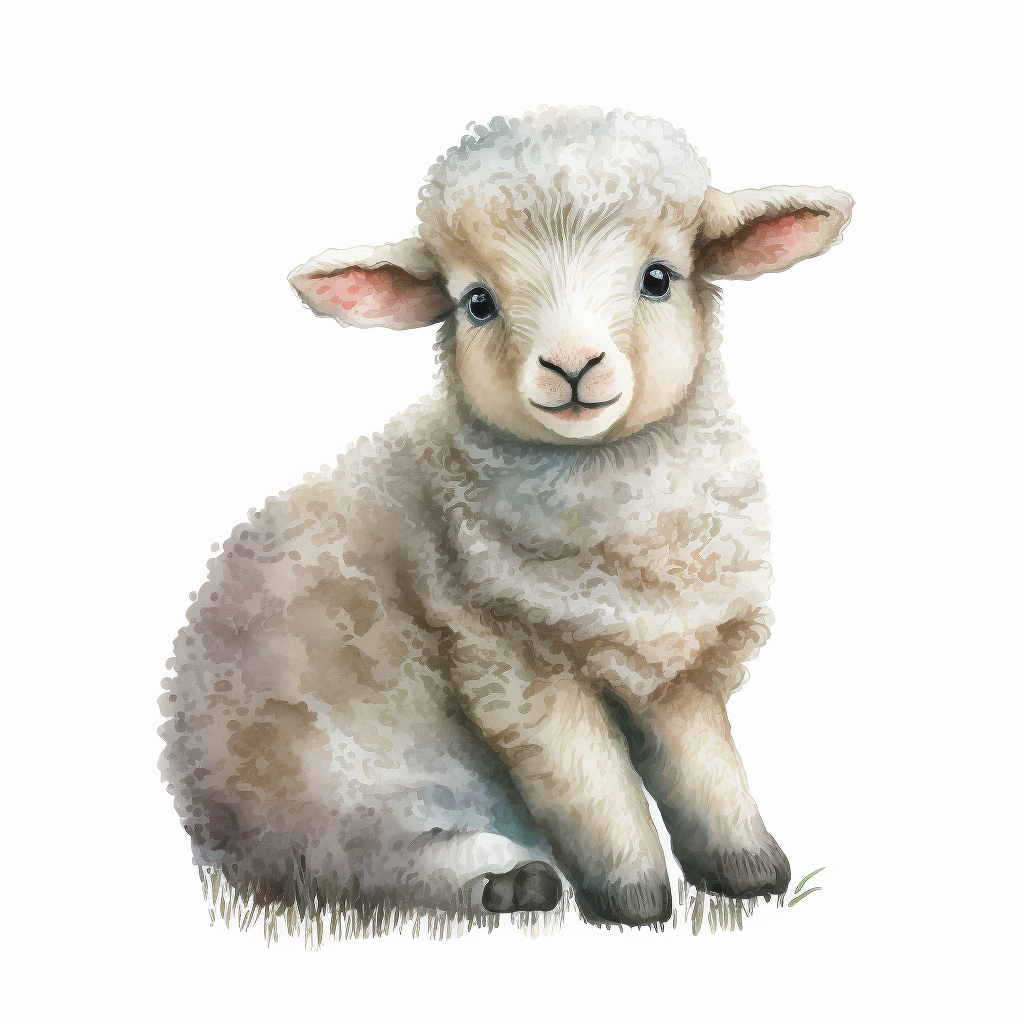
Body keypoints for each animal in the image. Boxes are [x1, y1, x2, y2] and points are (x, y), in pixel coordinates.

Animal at [158, 106, 853, 933]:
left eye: (659, 278)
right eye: (477, 302)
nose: (571, 366)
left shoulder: (679, 665)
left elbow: (707, 767)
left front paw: (749, 869)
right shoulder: (512, 667)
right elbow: (591, 786)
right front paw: (633, 896)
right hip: (329, 773)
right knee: (349, 860)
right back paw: (505, 879)